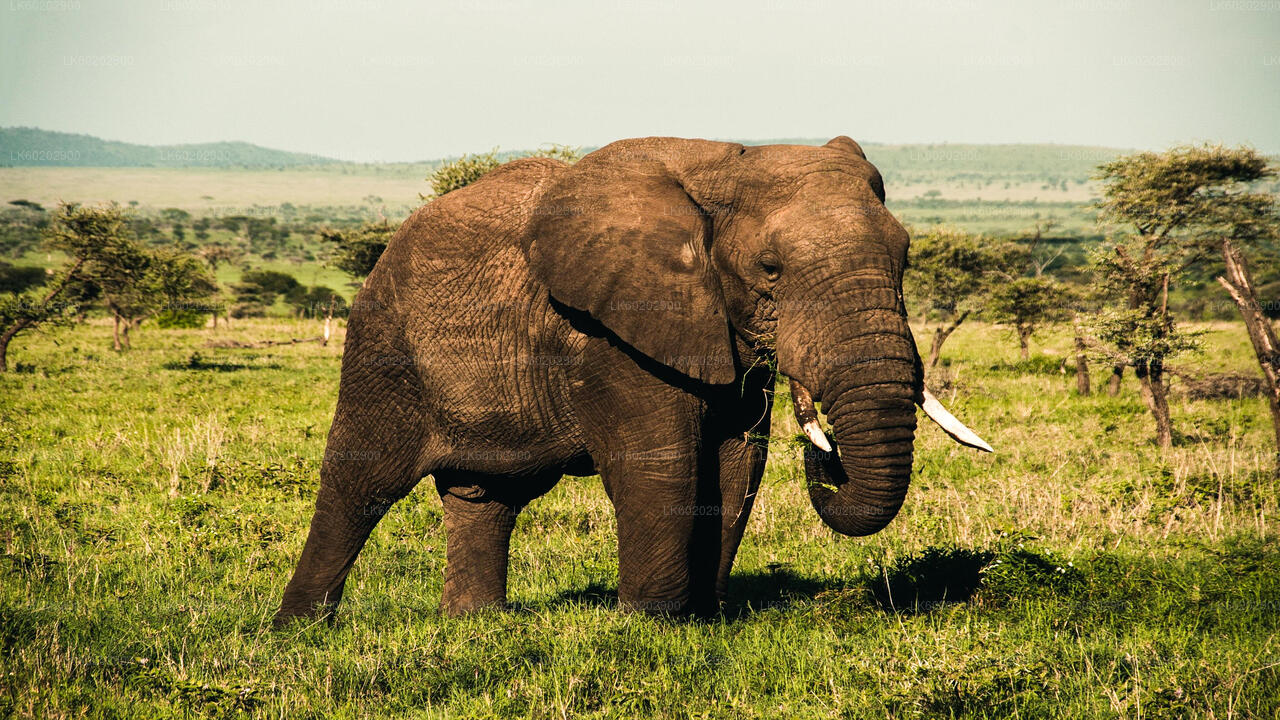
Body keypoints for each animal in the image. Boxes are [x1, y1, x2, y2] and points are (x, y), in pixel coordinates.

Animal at [272, 135, 988, 622]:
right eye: (771, 269)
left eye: (906, 257)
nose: (828, 452)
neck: (727, 162)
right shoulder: (614, 332)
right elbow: (660, 464)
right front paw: (651, 627)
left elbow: (735, 466)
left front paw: (708, 619)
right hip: (384, 342)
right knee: (361, 480)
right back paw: (300, 630)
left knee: (486, 494)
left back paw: (477, 627)